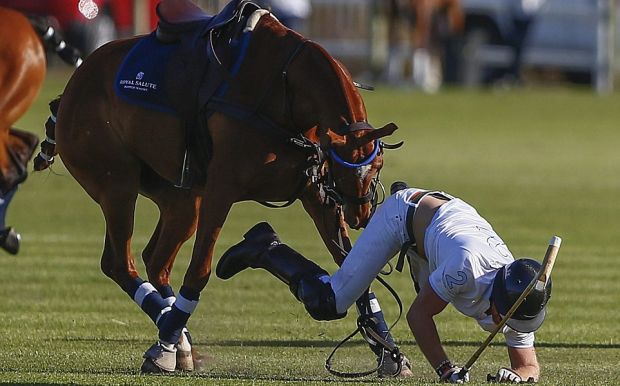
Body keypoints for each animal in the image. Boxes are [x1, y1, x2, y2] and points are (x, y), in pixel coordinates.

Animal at [37, 0, 406, 374]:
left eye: (377, 164)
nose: (361, 213)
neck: (286, 88)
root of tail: (71, 88)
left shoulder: (315, 194)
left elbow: (354, 267)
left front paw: (389, 353)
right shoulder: (221, 188)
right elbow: (199, 271)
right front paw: (164, 345)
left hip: (182, 199)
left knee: (156, 260)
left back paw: (179, 339)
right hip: (116, 184)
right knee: (119, 262)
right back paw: (169, 337)